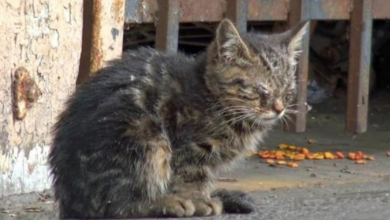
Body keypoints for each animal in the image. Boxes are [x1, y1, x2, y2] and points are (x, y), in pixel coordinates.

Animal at [48, 18, 308, 218]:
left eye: (287, 91)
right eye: (261, 90)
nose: (279, 108)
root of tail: (67, 199)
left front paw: (206, 196)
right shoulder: (188, 147)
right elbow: (191, 176)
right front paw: (199, 200)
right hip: (144, 136)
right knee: (117, 204)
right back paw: (167, 203)